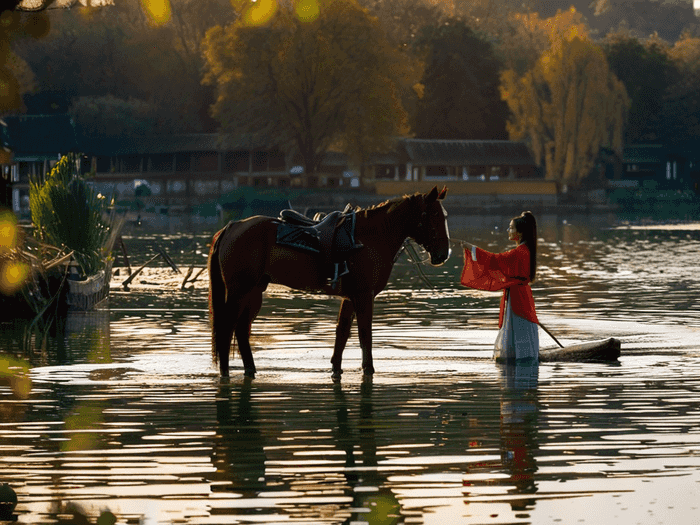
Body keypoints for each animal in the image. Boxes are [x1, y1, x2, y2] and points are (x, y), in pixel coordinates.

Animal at [208, 184, 452, 376]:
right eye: (435, 216)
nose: (443, 254)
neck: (371, 237)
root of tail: (232, 226)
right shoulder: (364, 296)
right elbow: (365, 334)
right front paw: (368, 369)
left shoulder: (350, 298)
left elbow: (342, 333)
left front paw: (336, 368)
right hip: (239, 291)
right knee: (227, 328)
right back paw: (225, 373)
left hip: (254, 292)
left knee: (241, 329)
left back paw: (250, 369)